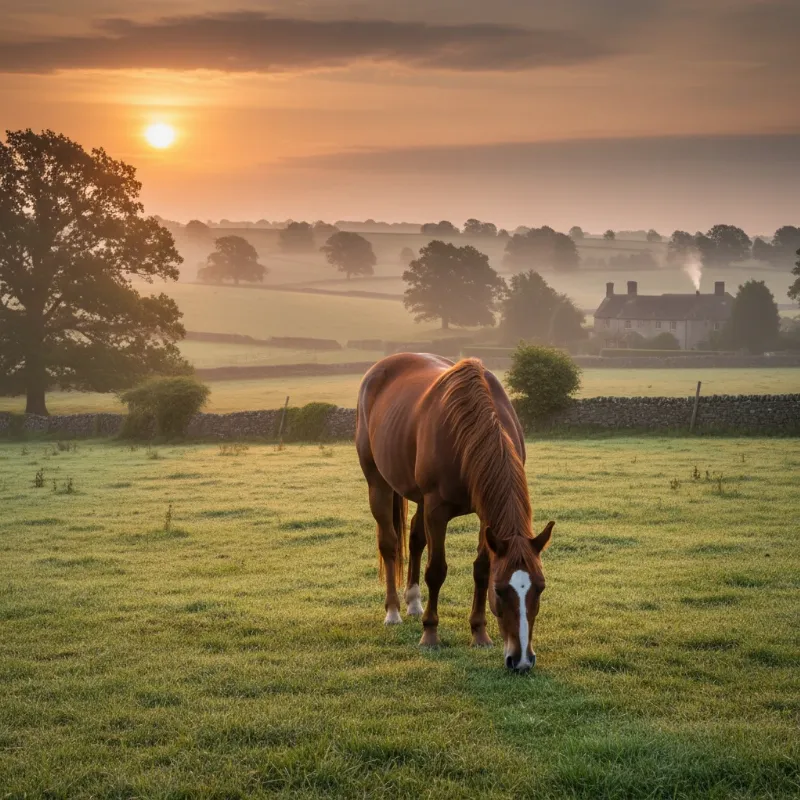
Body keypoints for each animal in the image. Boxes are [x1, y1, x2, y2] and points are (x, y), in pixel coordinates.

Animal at [356, 352, 554, 672]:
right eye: (501, 590)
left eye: (540, 587)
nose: (522, 660)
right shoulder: (437, 509)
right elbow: (436, 570)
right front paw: (430, 635)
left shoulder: (485, 517)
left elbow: (481, 569)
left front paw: (479, 633)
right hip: (378, 484)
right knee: (389, 544)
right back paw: (394, 612)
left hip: (418, 498)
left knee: (415, 539)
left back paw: (413, 602)